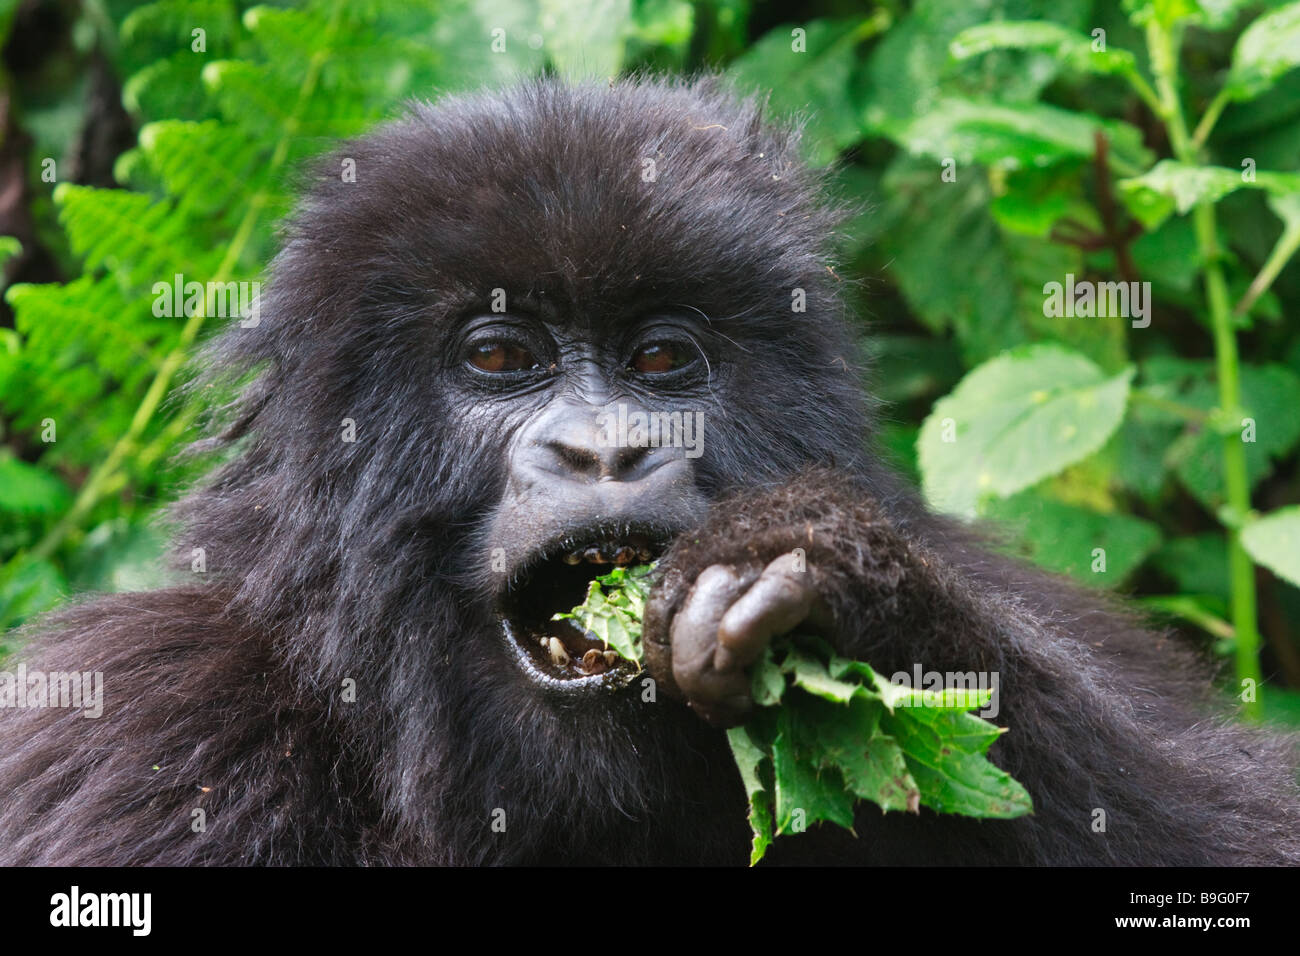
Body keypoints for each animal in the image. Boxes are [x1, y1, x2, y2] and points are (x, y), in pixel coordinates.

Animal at [0, 76, 1296, 865]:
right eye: (500, 357)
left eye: (661, 359)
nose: (608, 447)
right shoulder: (133, 725)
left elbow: (1237, 817)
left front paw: (852, 585)